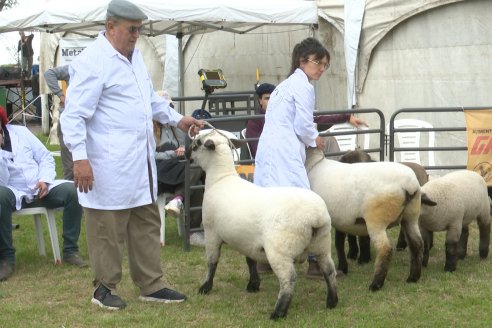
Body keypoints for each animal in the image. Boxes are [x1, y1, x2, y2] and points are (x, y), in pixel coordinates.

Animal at [188, 129, 338, 320]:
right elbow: (250, 261)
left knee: (289, 279)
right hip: (322, 244)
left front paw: (206, 287)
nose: (185, 154)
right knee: (329, 270)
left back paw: (278, 312)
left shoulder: (211, 232)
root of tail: (316, 217)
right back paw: (332, 301)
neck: (221, 179)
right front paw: (253, 284)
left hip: (280, 250)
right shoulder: (247, 240)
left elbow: (212, 262)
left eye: (197, 143)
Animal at [306, 147, 424, 290]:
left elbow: (337, 244)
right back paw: (413, 277)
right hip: (410, 216)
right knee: (417, 244)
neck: (313, 164)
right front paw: (343, 268)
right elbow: (339, 243)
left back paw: (376, 284)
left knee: (385, 249)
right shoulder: (340, 220)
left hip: (376, 220)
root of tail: (409, 184)